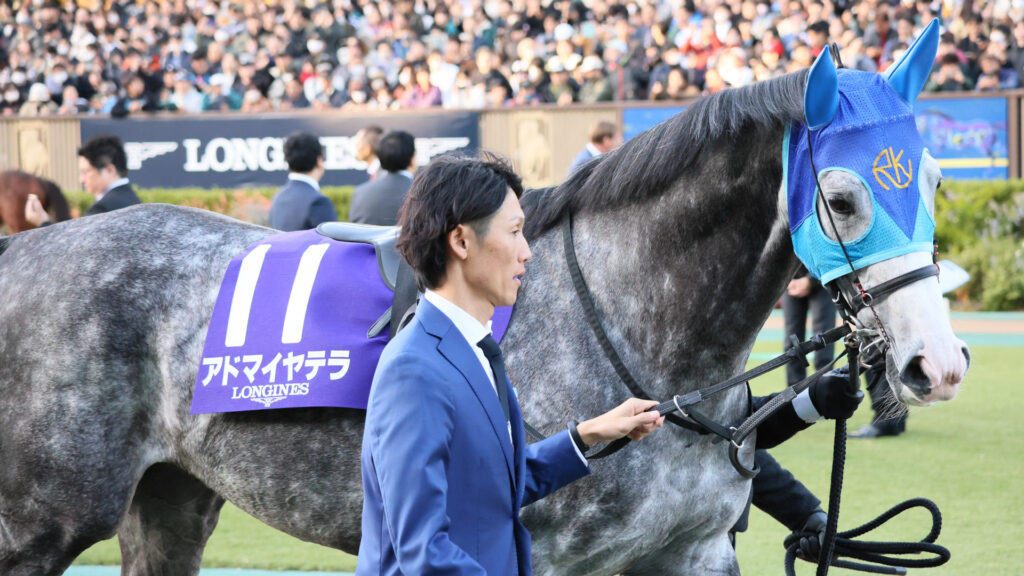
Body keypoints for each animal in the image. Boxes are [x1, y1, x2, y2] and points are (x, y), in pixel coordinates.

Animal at [0, 32, 969, 575]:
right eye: (842, 198)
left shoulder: (690, 552)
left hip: (171, 500)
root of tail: (28, 249)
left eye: (930, 180)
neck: (640, 333)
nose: (939, 363)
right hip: (44, 519)